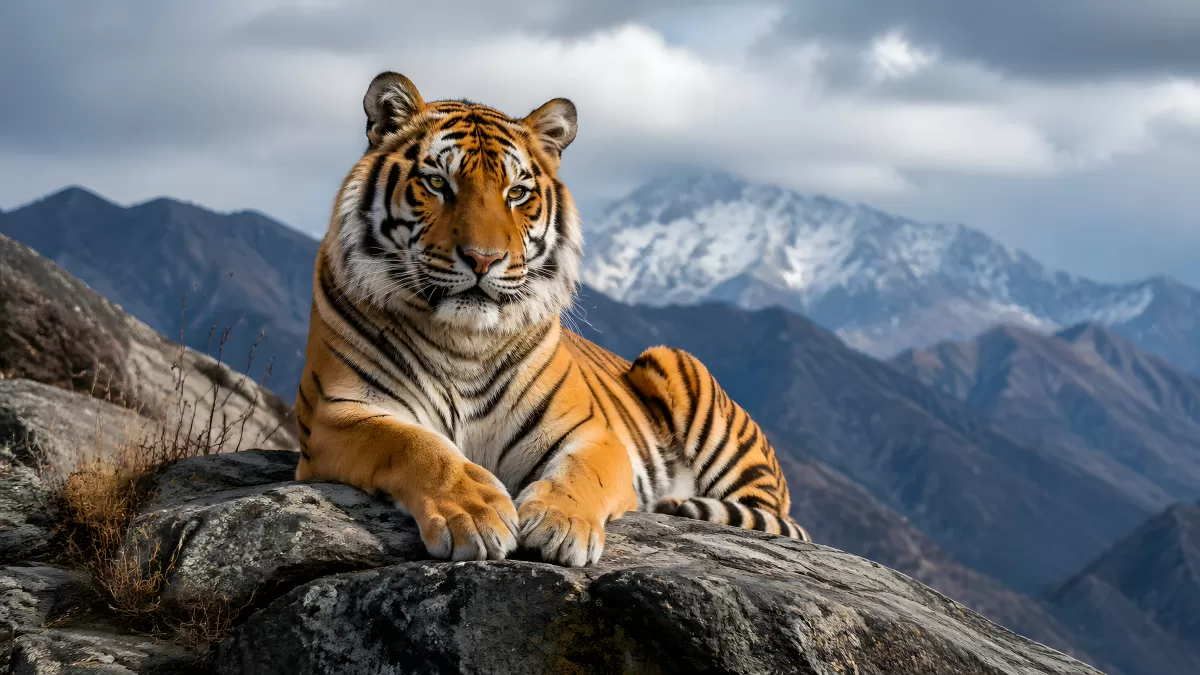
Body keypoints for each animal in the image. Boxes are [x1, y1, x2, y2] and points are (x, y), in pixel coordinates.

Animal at [294, 71, 811, 567]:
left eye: (517, 193)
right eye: (438, 183)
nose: (484, 259)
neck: (464, 340)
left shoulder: (590, 432)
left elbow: (580, 473)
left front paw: (560, 525)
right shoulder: (339, 413)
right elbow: (418, 448)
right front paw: (475, 514)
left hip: (680, 372)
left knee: (762, 511)